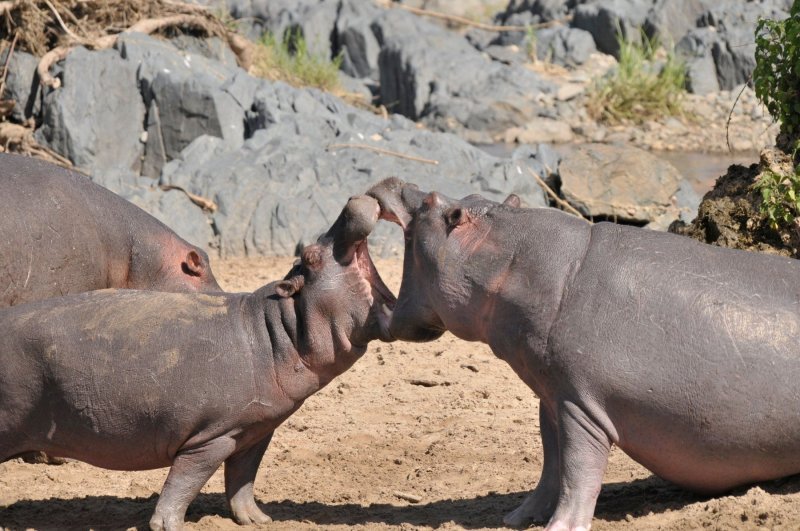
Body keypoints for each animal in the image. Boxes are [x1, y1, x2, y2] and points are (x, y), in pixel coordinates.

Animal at [0, 196, 394, 531]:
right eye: (311, 255)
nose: (354, 199)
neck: (279, 331)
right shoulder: (211, 437)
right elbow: (185, 481)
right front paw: (169, 525)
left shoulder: (255, 430)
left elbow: (242, 479)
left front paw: (258, 520)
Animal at [368, 179, 800, 531]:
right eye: (465, 195)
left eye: (433, 203)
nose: (396, 181)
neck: (513, 260)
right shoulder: (553, 397)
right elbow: (551, 466)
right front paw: (518, 518)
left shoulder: (582, 405)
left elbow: (577, 469)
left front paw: (562, 526)